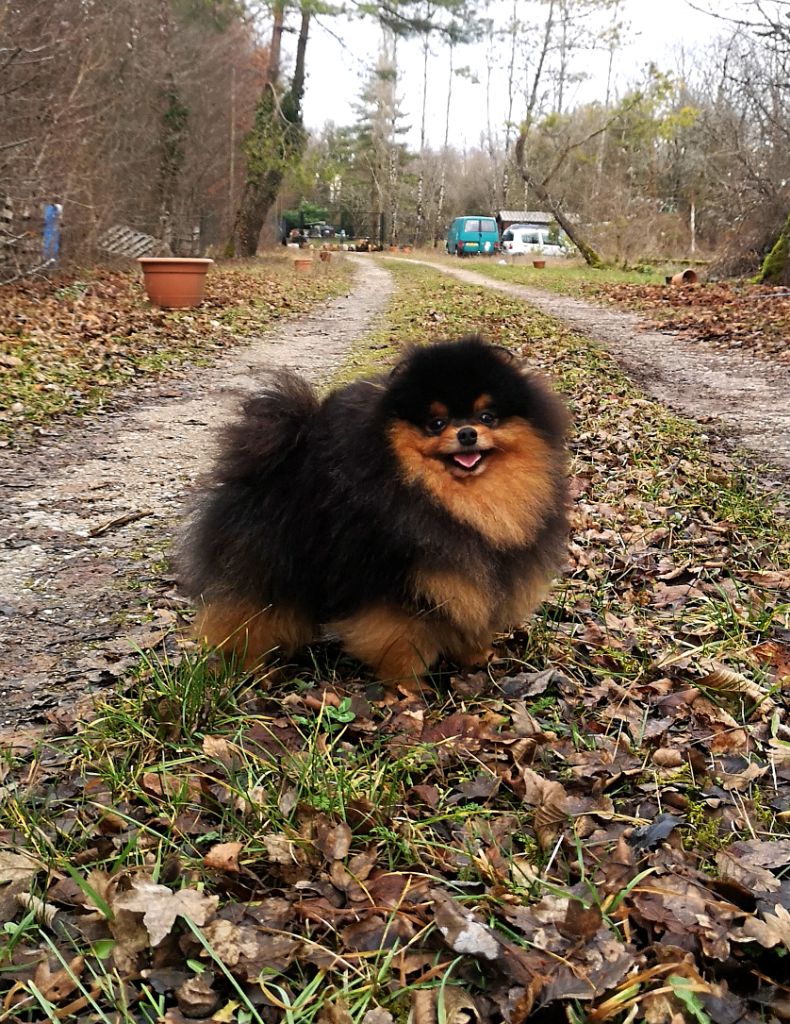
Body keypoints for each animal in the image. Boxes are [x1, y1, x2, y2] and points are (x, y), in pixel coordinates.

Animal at [180, 339, 569, 684]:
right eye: (436, 423)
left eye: (487, 416)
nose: (468, 433)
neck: (465, 500)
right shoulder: (393, 582)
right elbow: (401, 641)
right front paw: (408, 688)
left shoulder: (470, 575)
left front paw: (475, 655)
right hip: (267, 561)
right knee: (248, 616)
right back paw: (249, 667)